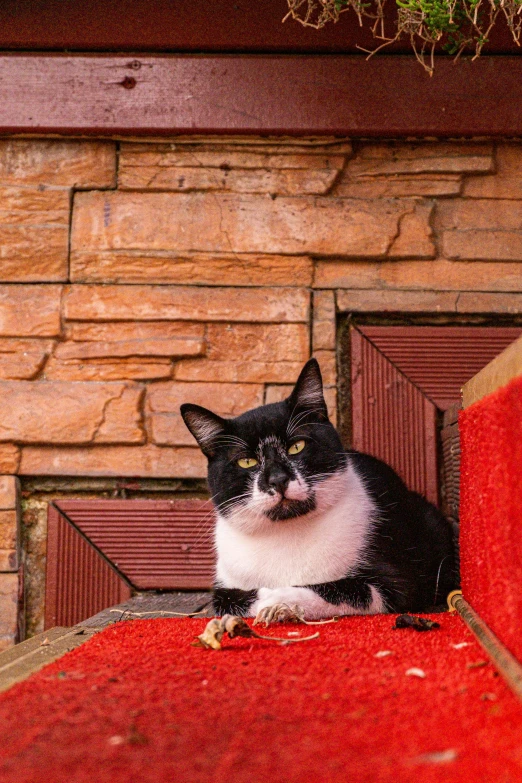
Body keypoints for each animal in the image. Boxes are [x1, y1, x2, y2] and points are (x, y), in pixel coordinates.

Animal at [180, 362, 456, 624]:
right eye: (246, 462)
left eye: (297, 447)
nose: (278, 480)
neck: (286, 533)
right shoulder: (224, 586)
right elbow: (229, 599)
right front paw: (268, 600)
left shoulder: (396, 582)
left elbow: (341, 590)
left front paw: (279, 601)